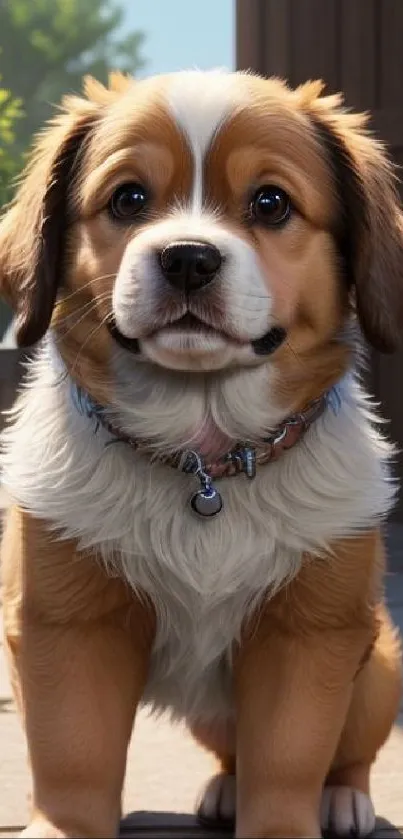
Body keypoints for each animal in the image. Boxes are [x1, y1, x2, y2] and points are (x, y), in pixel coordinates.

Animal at [0, 72, 402, 839]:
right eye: (128, 198)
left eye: (270, 203)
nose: (188, 257)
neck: (204, 459)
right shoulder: (68, 624)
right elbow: (73, 752)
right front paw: (65, 825)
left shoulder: (309, 634)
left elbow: (288, 760)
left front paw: (283, 826)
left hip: (378, 667)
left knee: (348, 751)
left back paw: (344, 798)